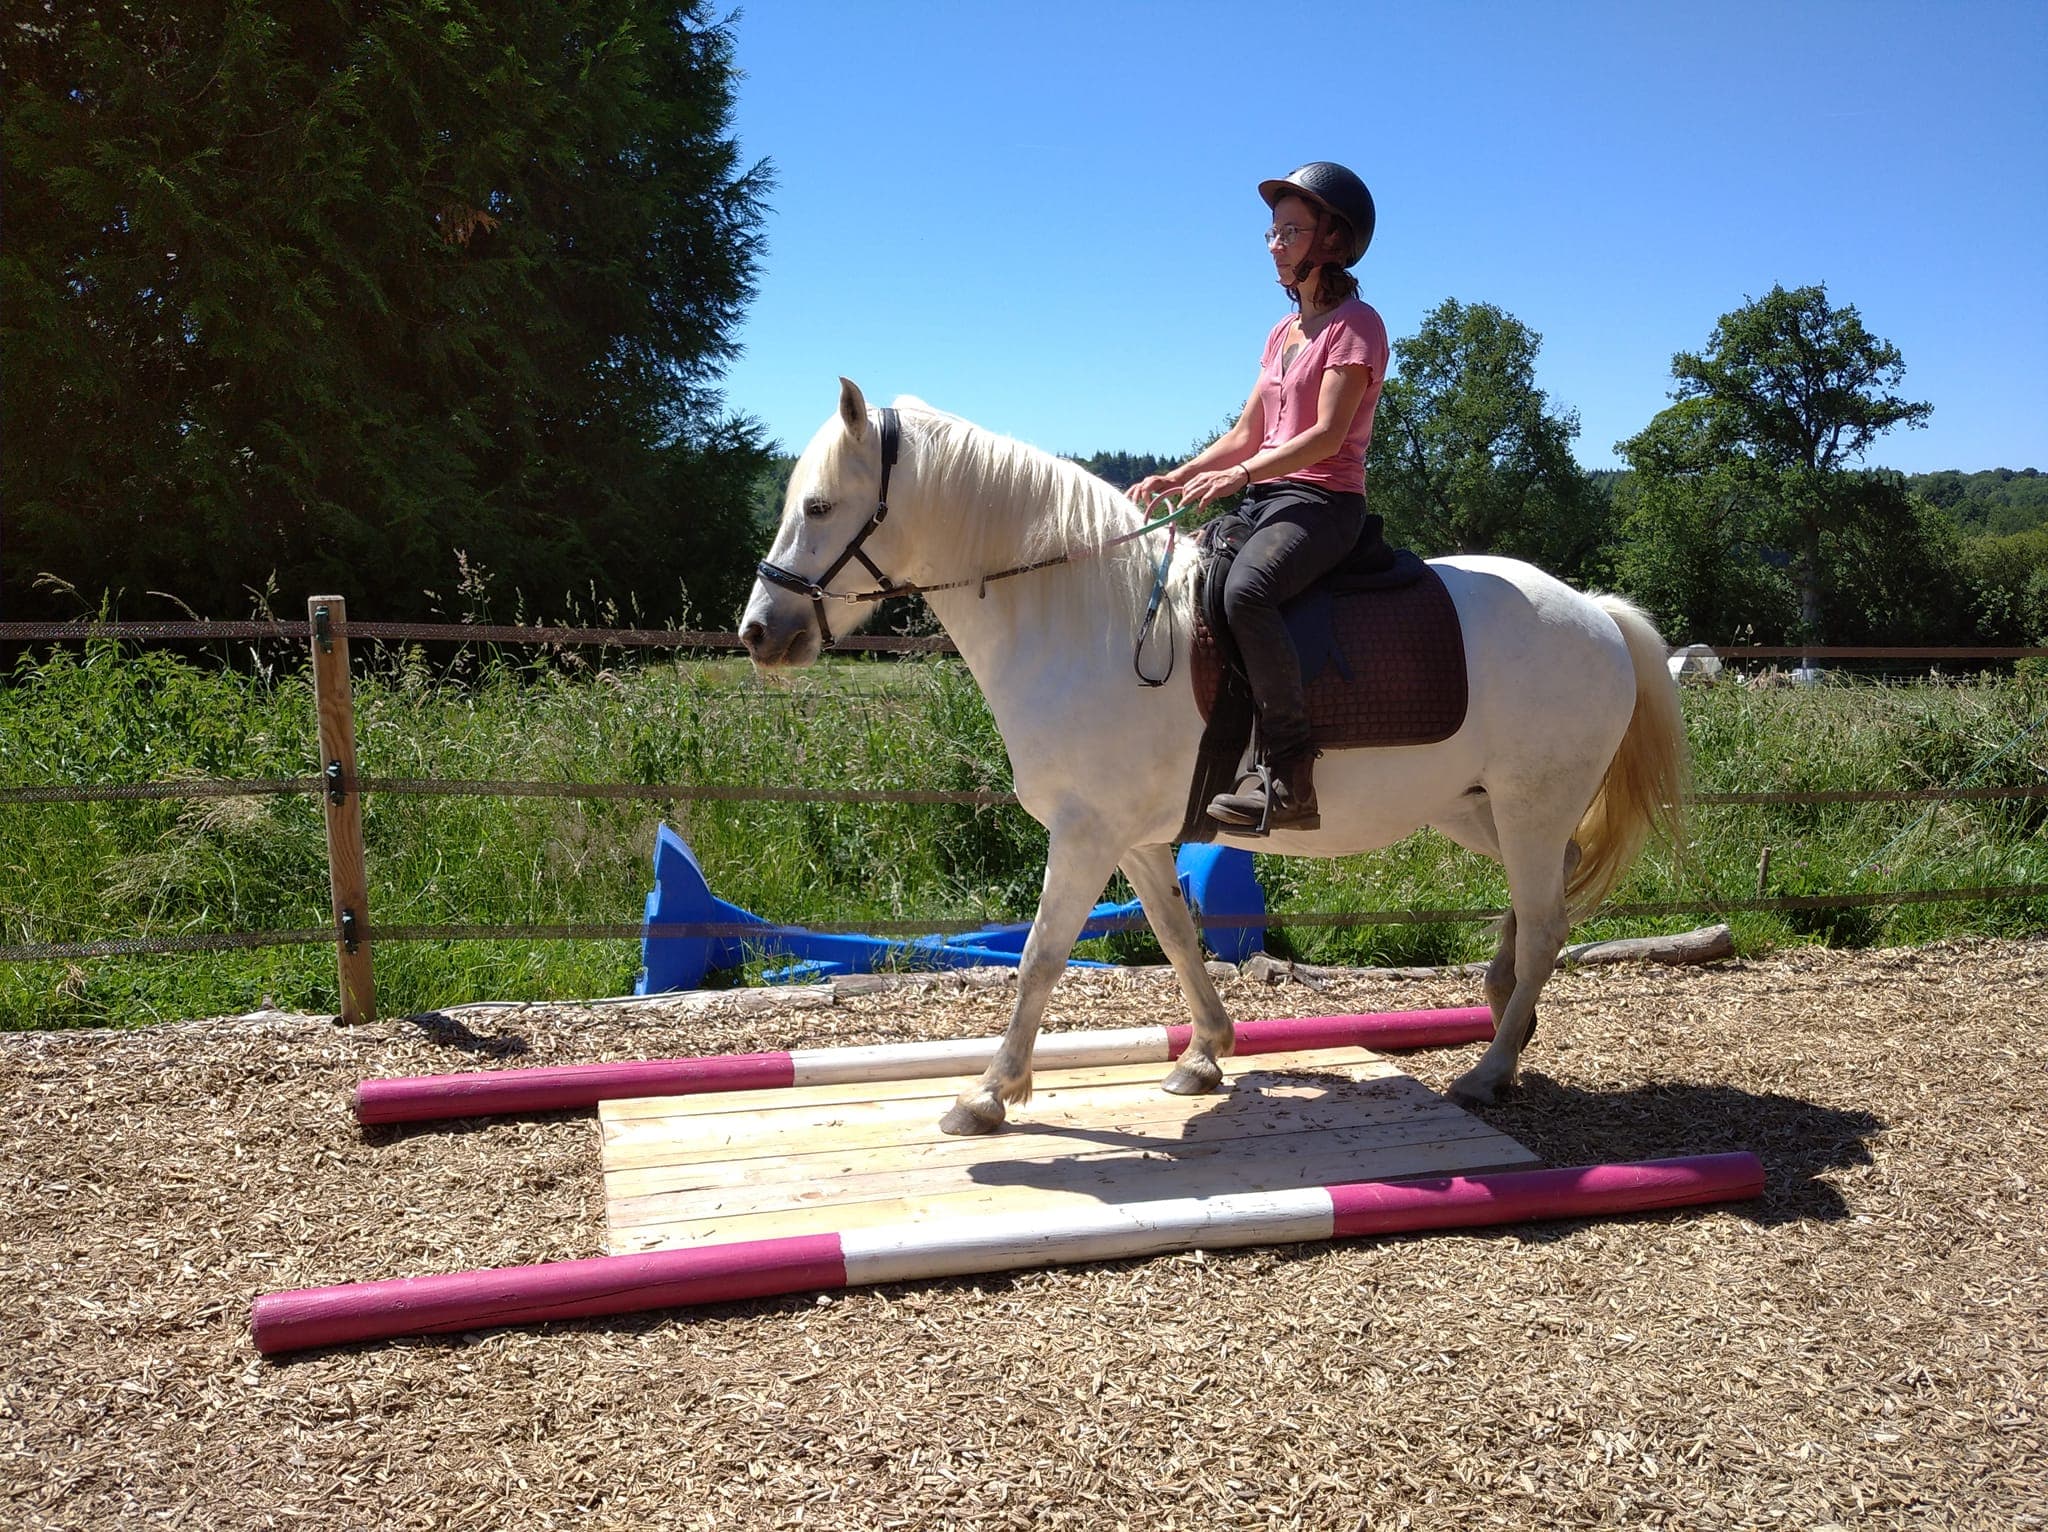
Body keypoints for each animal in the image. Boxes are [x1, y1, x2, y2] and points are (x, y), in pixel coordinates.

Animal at [740, 379, 1686, 1135]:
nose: (758, 632)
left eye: (818, 507)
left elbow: (1042, 955)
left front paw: (989, 1094)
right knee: (1547, 893)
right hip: (1480, 807)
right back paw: (1504, 1020)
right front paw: (1205, 1054)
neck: (1083, 620)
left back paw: (1489, 1069)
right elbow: (1174, 933)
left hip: (1528, 805)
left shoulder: (1085, 834)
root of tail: (1597, 613)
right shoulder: (1131, 836)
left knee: (1549, 922)